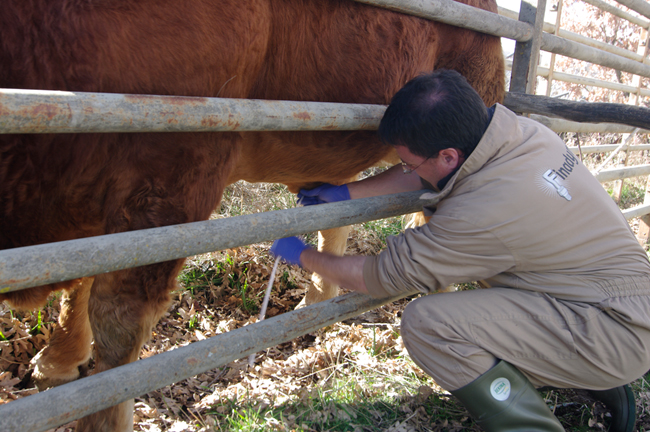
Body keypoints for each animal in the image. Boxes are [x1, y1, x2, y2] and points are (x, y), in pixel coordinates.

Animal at [0, 1, 502, 430]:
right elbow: (81, 279)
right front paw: (59, 362)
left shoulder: (169, 180)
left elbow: (116, 323)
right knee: (339, 208)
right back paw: (315, 302)